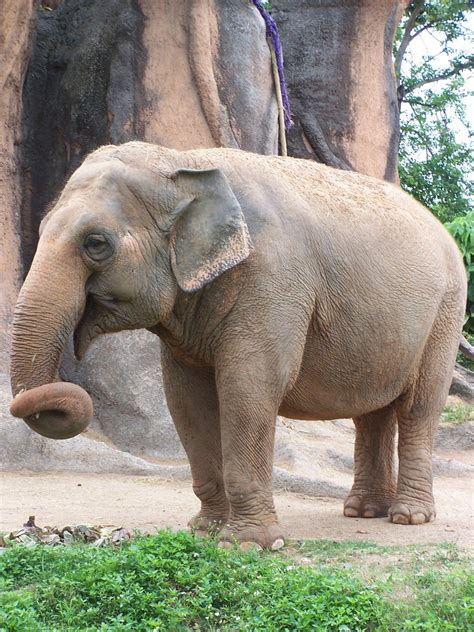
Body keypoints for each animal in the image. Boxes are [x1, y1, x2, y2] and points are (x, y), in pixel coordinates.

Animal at [10, 142, 466, 548]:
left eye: (96, 243)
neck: (182, 161)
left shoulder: (273, 280)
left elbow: (250, 386)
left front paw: (251, 545)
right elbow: (185, 399)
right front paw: (205, 532)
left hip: (446, 314)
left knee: (418, 407)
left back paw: (409, 517)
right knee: (371, 414)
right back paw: (363, 511)